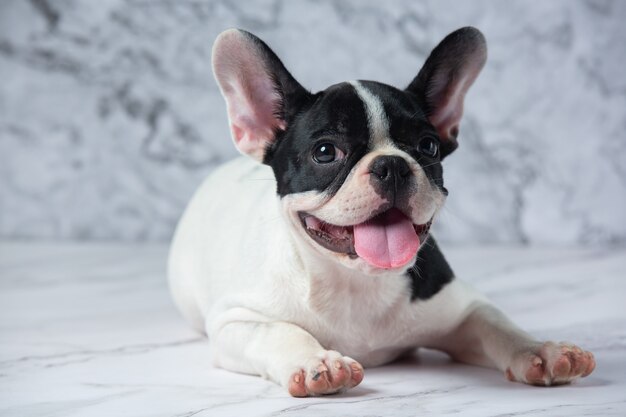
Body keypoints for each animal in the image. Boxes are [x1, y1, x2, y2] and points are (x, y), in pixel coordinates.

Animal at [167, 26, 596, 396]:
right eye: (325, 151)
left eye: (428, 146)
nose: (391, 165)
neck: (356, 282)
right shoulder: (235, 320)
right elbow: (280, 332)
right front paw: (316, 362)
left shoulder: (463, 309)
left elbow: (498, 326)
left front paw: (540, 350)